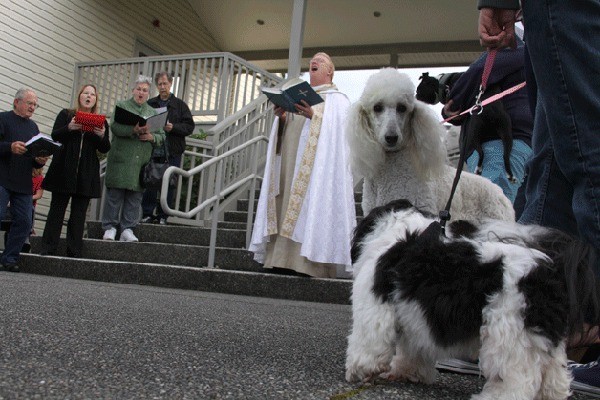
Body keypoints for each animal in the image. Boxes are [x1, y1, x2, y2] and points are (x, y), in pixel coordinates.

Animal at [344, 200, 596, 400]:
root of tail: (549, 270)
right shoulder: (416, 316)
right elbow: (412, 349)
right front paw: (409, 372)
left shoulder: (374, 305)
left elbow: (368, 343)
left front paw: (359, 370)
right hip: (542, 338)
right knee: (554, 373)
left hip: (508, 336)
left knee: (517, 381)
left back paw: (494, 396)